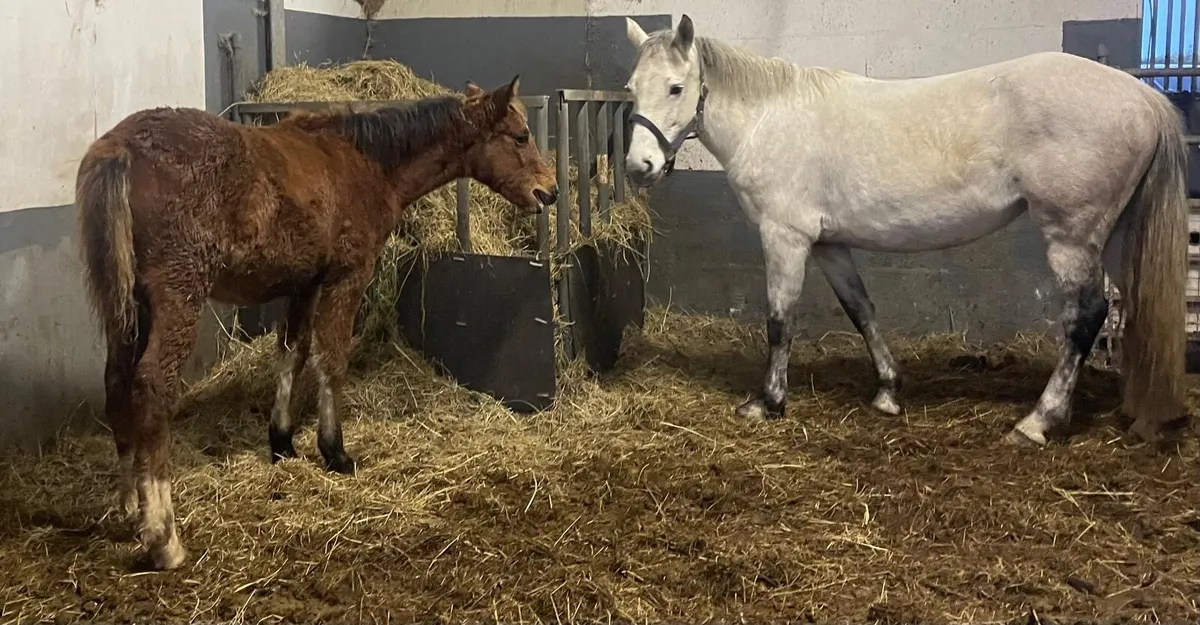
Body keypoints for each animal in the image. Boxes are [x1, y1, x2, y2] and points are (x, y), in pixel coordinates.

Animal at [76, 76, 559, 570]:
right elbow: (332, 358)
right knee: (151, 386)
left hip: (129, 305)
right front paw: (335, 451)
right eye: (521, 136)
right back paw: (163, 537)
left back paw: (130, 508)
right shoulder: (348, 274)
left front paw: (282, 442)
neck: (366, 161)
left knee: (117, 381)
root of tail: (120, 148)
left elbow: (293, 353)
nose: (550, 191)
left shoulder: (304, 283)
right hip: (177, 294)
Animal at [621, 16, 1188, 447]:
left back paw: (1038, 421)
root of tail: (1143, 98)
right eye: (631, 88)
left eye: (676, 88)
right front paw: (889, 392)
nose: (638, 166)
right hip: (1113, 239)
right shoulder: (829, 245)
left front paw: (768, 402)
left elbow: (780, 321)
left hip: (1071, 237)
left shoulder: (785, 237)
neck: (769, 119)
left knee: (1085, 317)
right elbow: (862, 311)